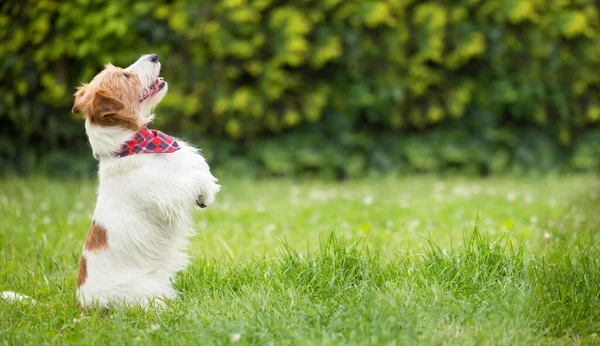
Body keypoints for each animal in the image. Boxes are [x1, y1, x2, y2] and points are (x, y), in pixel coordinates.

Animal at [71, 54, 219, 310]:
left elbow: (199, 166)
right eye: (125, 76)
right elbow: (194, 178)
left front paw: (207, 194)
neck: (134, 146)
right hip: (142, 292)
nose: (153, 56)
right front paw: (205, 190)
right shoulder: (167, 195)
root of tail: (84, 304)